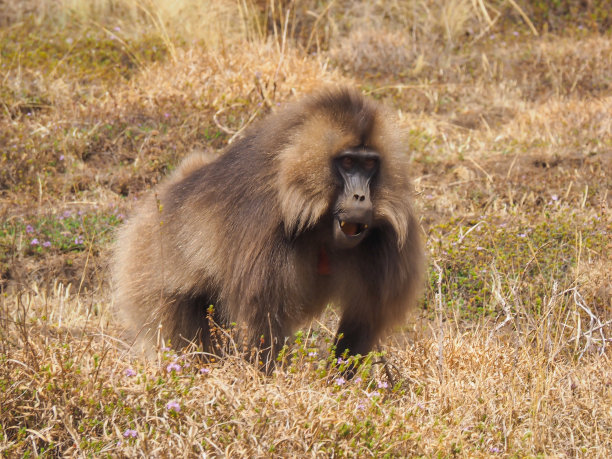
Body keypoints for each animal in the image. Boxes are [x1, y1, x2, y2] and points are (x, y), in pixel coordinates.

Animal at [112, 86, 424, 366]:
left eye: (370, 164)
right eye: (347, 162)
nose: (360, 197)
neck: (320, 224)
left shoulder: (385, 243)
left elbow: (362, 319)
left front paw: (338, 383)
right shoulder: (265, 229)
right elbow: (264, 325)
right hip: (147, 271)